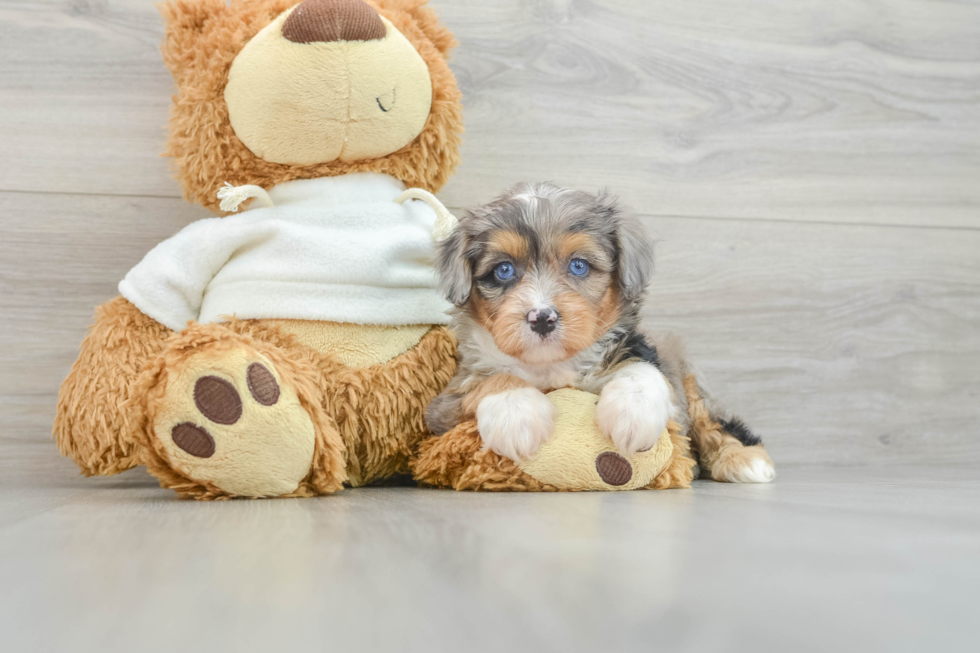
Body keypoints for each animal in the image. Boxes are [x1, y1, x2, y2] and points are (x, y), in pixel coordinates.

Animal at [424, 181, 776, 482]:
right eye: (504, 270)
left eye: (578, 265)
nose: (542, 318)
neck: (552, 365)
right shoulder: (443, 407)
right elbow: (492, 379)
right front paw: (517, 416)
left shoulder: (647, 358)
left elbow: (642, 369)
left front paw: (634, 414)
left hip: (694, 387)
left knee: (718, 425)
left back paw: (745, 461)